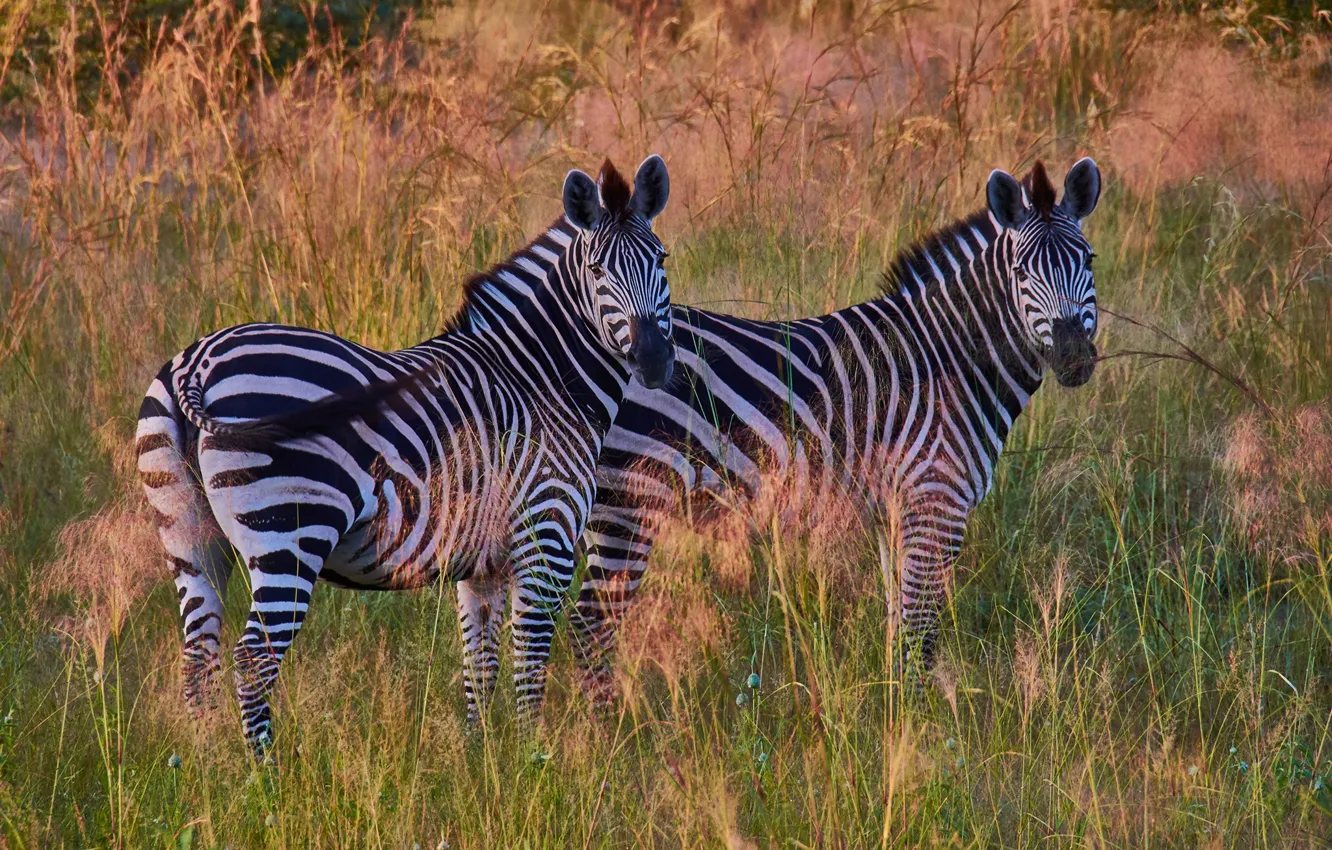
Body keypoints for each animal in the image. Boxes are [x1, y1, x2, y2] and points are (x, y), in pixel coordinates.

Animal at [135, 155, 675, 755]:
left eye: (661, 260)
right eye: (599, 272)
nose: (654, 360)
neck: (540, 380)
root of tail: (197, 363)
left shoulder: (482, 563)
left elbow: (479, 669)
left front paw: (482, 763)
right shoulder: (546, 536)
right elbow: (530, 664)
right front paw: (536, 760)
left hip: (188, 536)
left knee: (197, 658)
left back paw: (207, 771)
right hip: (288, 532)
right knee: (251, 663)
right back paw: (265, 778)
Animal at [553, 158, 1103, 702]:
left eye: (1090, 261)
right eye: (1021, 271)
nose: (1074, 356)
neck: (949, 357)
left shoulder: (894, 509)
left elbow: (898, 624)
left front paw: (893, 710)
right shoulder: (936, 499)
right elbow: (921, 631)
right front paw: (922, 717)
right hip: (630, 498)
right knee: (590, 629)